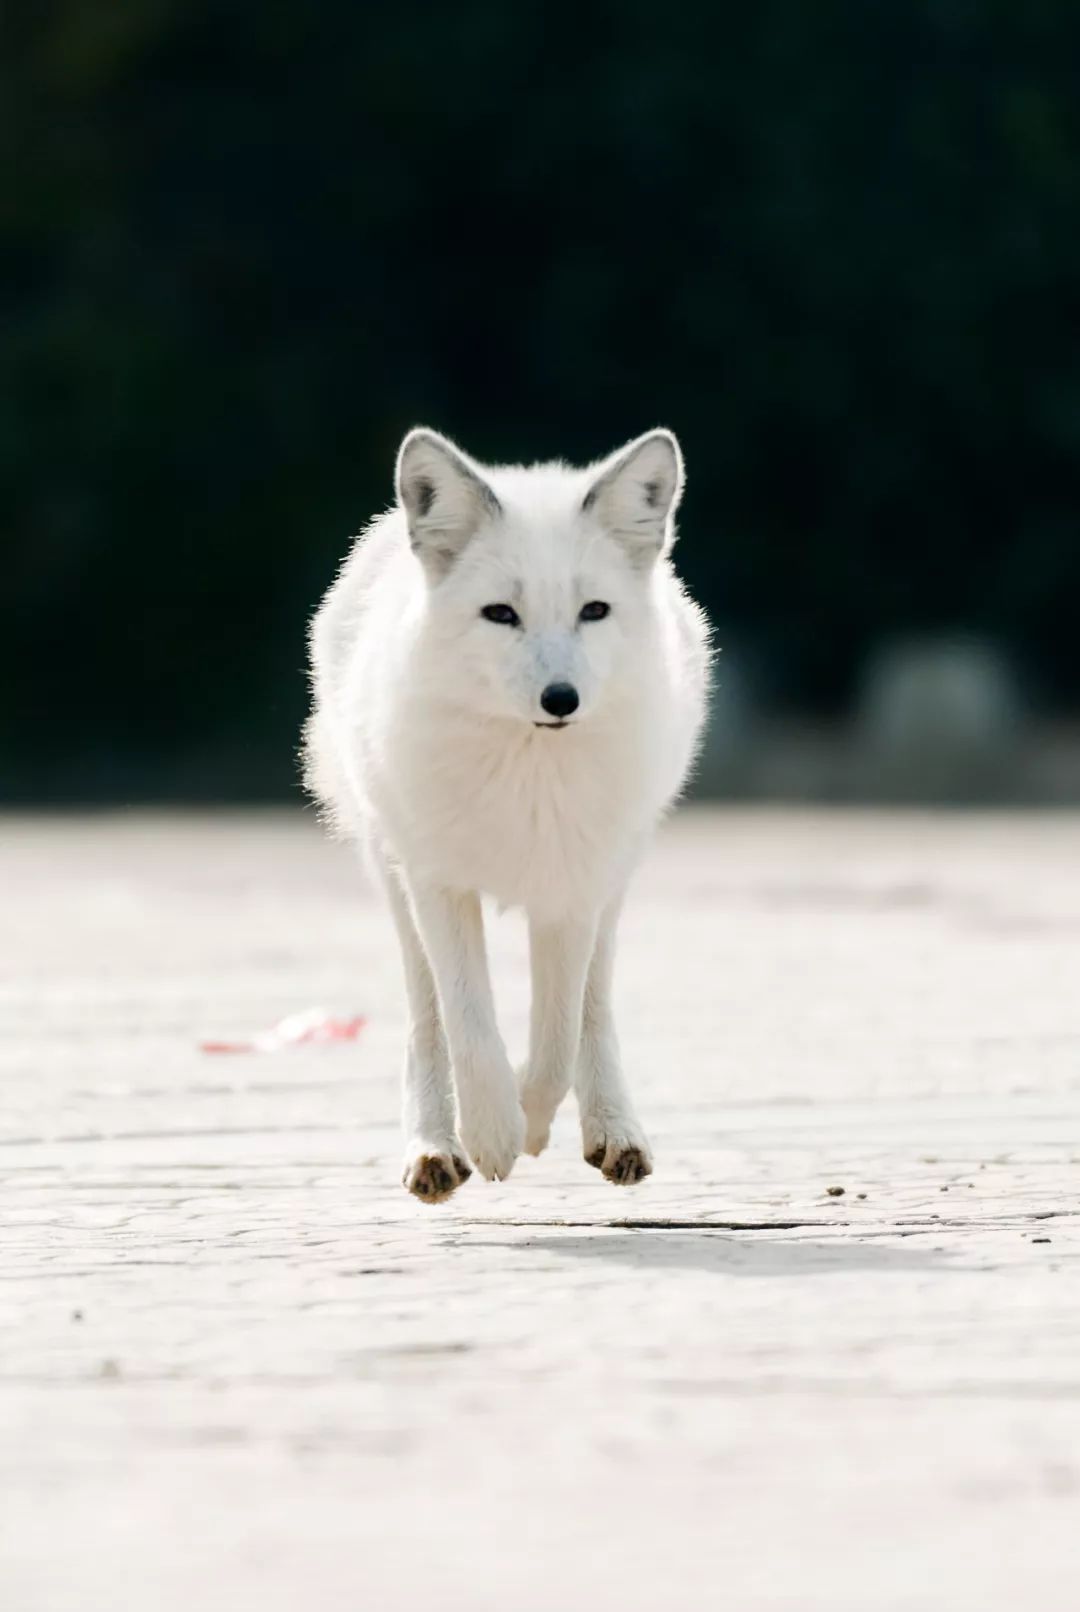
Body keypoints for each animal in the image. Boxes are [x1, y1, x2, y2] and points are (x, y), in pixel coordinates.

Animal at [306, 425, 709, 1199]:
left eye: (593, 611)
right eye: (501, 614)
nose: (561, 699)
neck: (529, 780)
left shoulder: (572, 892)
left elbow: (555, 1040)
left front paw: (529, 1123)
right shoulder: (438, 882)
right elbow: (469, 1024)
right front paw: (492, 1133)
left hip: (616, 874)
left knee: (594, 1008)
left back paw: (614, 1132)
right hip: (391, 868)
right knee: (426, 1015)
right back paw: (434, 1147)